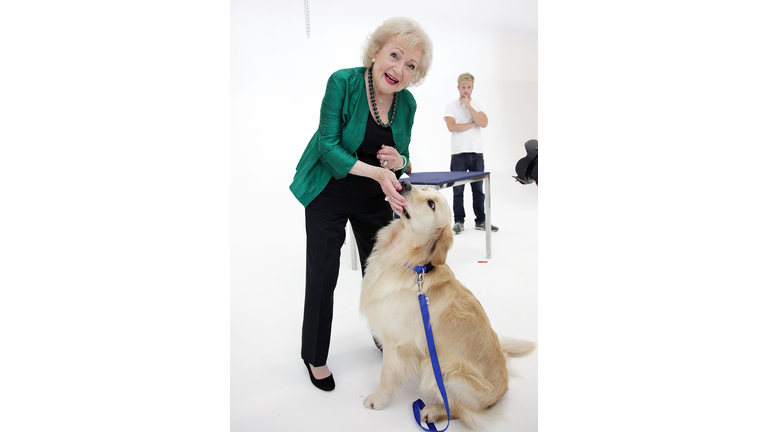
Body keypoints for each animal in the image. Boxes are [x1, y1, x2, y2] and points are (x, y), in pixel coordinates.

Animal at [358, 181, 536, 428]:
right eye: (424, 190)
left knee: (460, 410)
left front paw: (378, 400)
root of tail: (502, 390)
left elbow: (386, 374)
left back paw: (432, 412)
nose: (405, 183)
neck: (409, 262)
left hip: (439, 369)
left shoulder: (396, 342)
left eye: (431, 204)